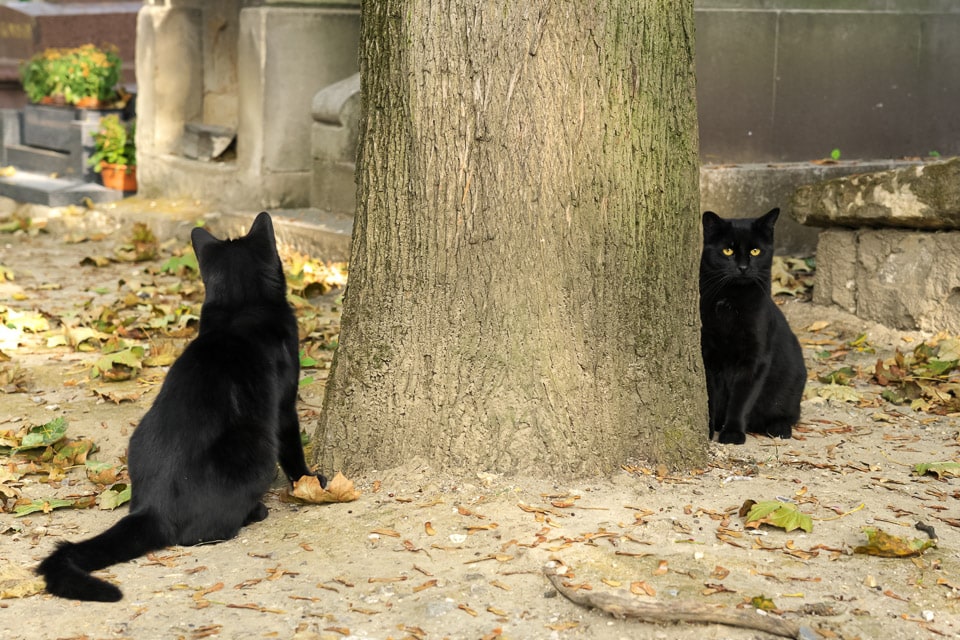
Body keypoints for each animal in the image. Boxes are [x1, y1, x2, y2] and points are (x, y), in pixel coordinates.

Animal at [36, 214, 326, 600]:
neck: (240, 305)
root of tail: (152, 509)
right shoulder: (284, 406)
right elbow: (293, 448)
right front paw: (309, 480)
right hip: (255, 449)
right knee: (206, 533)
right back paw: (255, 511)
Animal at [700, 210, 808, 444]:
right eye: (728, 250)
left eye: (755, 251)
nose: (743, 267)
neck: (731, 303)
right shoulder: (709, 355)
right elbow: (711, 397)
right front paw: (709, 429)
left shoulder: (755, 359)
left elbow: (741, 399)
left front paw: (732, 433)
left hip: (790, 387)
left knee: (789, 415)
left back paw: (779, 428)